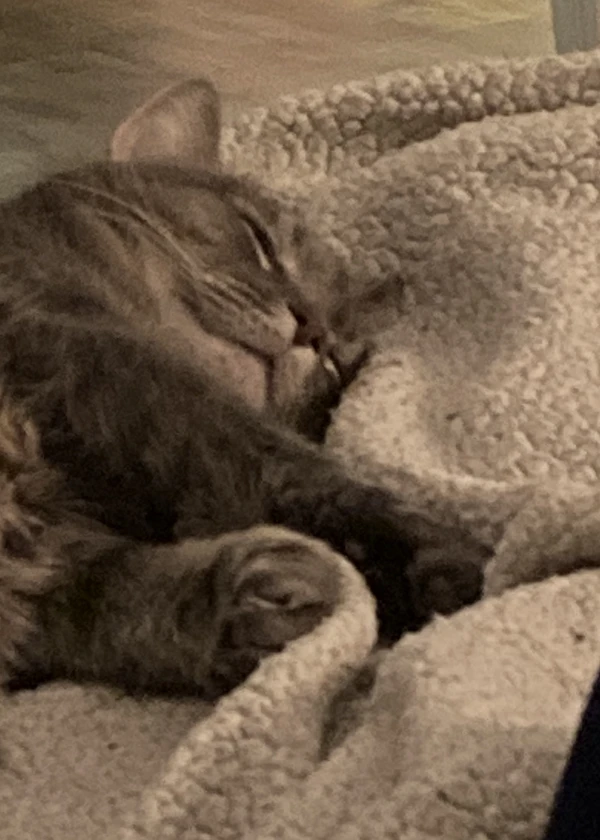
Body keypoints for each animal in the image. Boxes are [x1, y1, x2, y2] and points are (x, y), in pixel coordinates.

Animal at [0, 77, 488, 696]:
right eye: (260, 241)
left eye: (342, 354)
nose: (313, 331)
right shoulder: (99, 360)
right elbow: (292, 470)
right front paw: (453, 557)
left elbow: (104, 606)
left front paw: (258, 601)